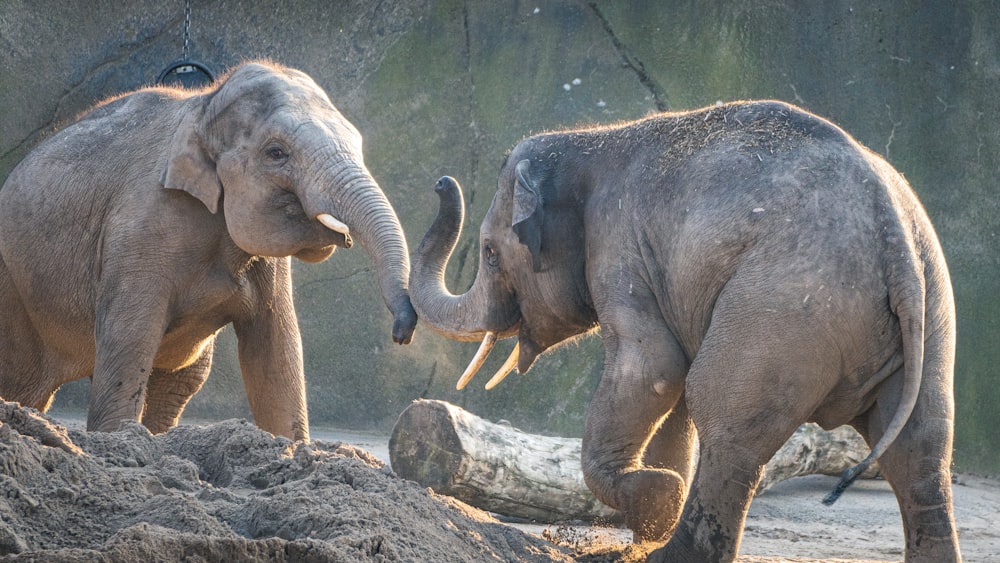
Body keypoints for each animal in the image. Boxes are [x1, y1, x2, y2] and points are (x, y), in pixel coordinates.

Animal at [0, 60, 416, 440]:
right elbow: (130, 340)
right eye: (276, 153)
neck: (203, 107)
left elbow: (276, 348)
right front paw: (117, 441)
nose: (402, 331)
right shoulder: (141, 229)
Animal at [412, 99, 960, 560]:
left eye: (489, 253)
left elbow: (652, 371)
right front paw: (650, 516)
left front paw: (657, 498)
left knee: (726, 422)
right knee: (921, 448)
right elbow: (671, 399)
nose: (440, 182)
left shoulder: (620, 247)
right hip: (930, 315)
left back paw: (670, 554)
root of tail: (892, 235)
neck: (591, 140)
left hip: (783, 310)